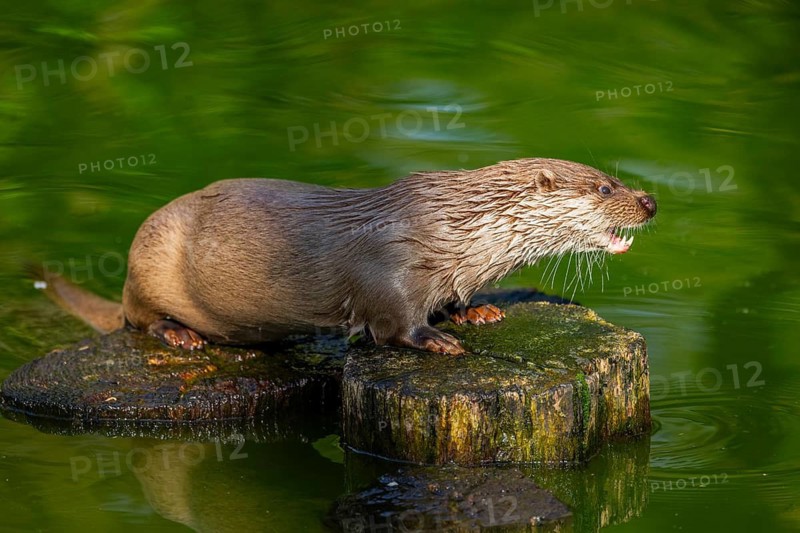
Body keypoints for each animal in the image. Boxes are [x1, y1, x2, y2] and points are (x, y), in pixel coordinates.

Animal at [45, 158, 657, 355]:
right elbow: (393, 323)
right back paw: (180, 334)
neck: (457, 231)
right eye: (605, 187)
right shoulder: (389, 267)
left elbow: (452, 296)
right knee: (137, 319)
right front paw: (437, 340)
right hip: (151, 258)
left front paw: (475, 310)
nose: (650, 201)